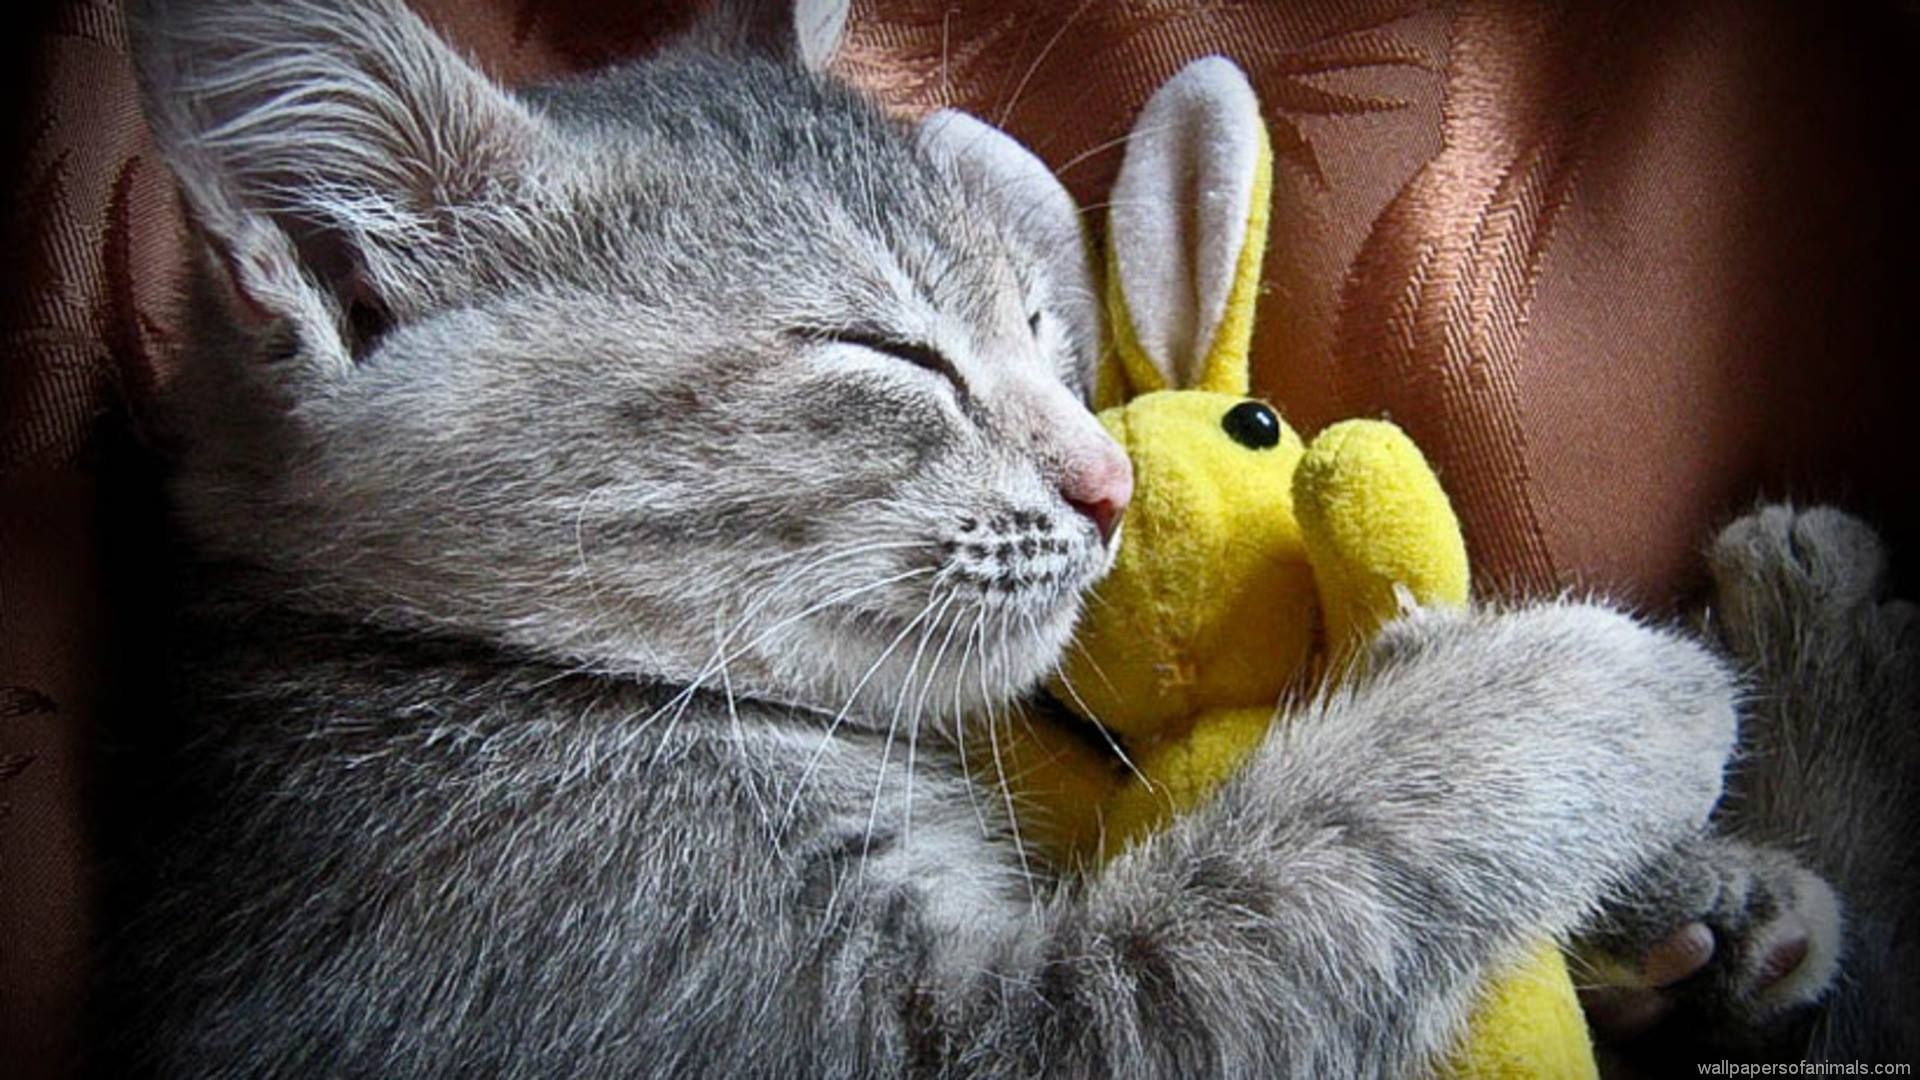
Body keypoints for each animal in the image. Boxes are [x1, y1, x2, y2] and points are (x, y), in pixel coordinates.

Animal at [101, 0, 1858, 1068]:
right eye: (888, 357)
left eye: (1033, 319)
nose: (1107, 482)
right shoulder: (918, 1036)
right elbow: (1293, 879)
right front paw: (1597, 688)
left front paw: (1699, 897)